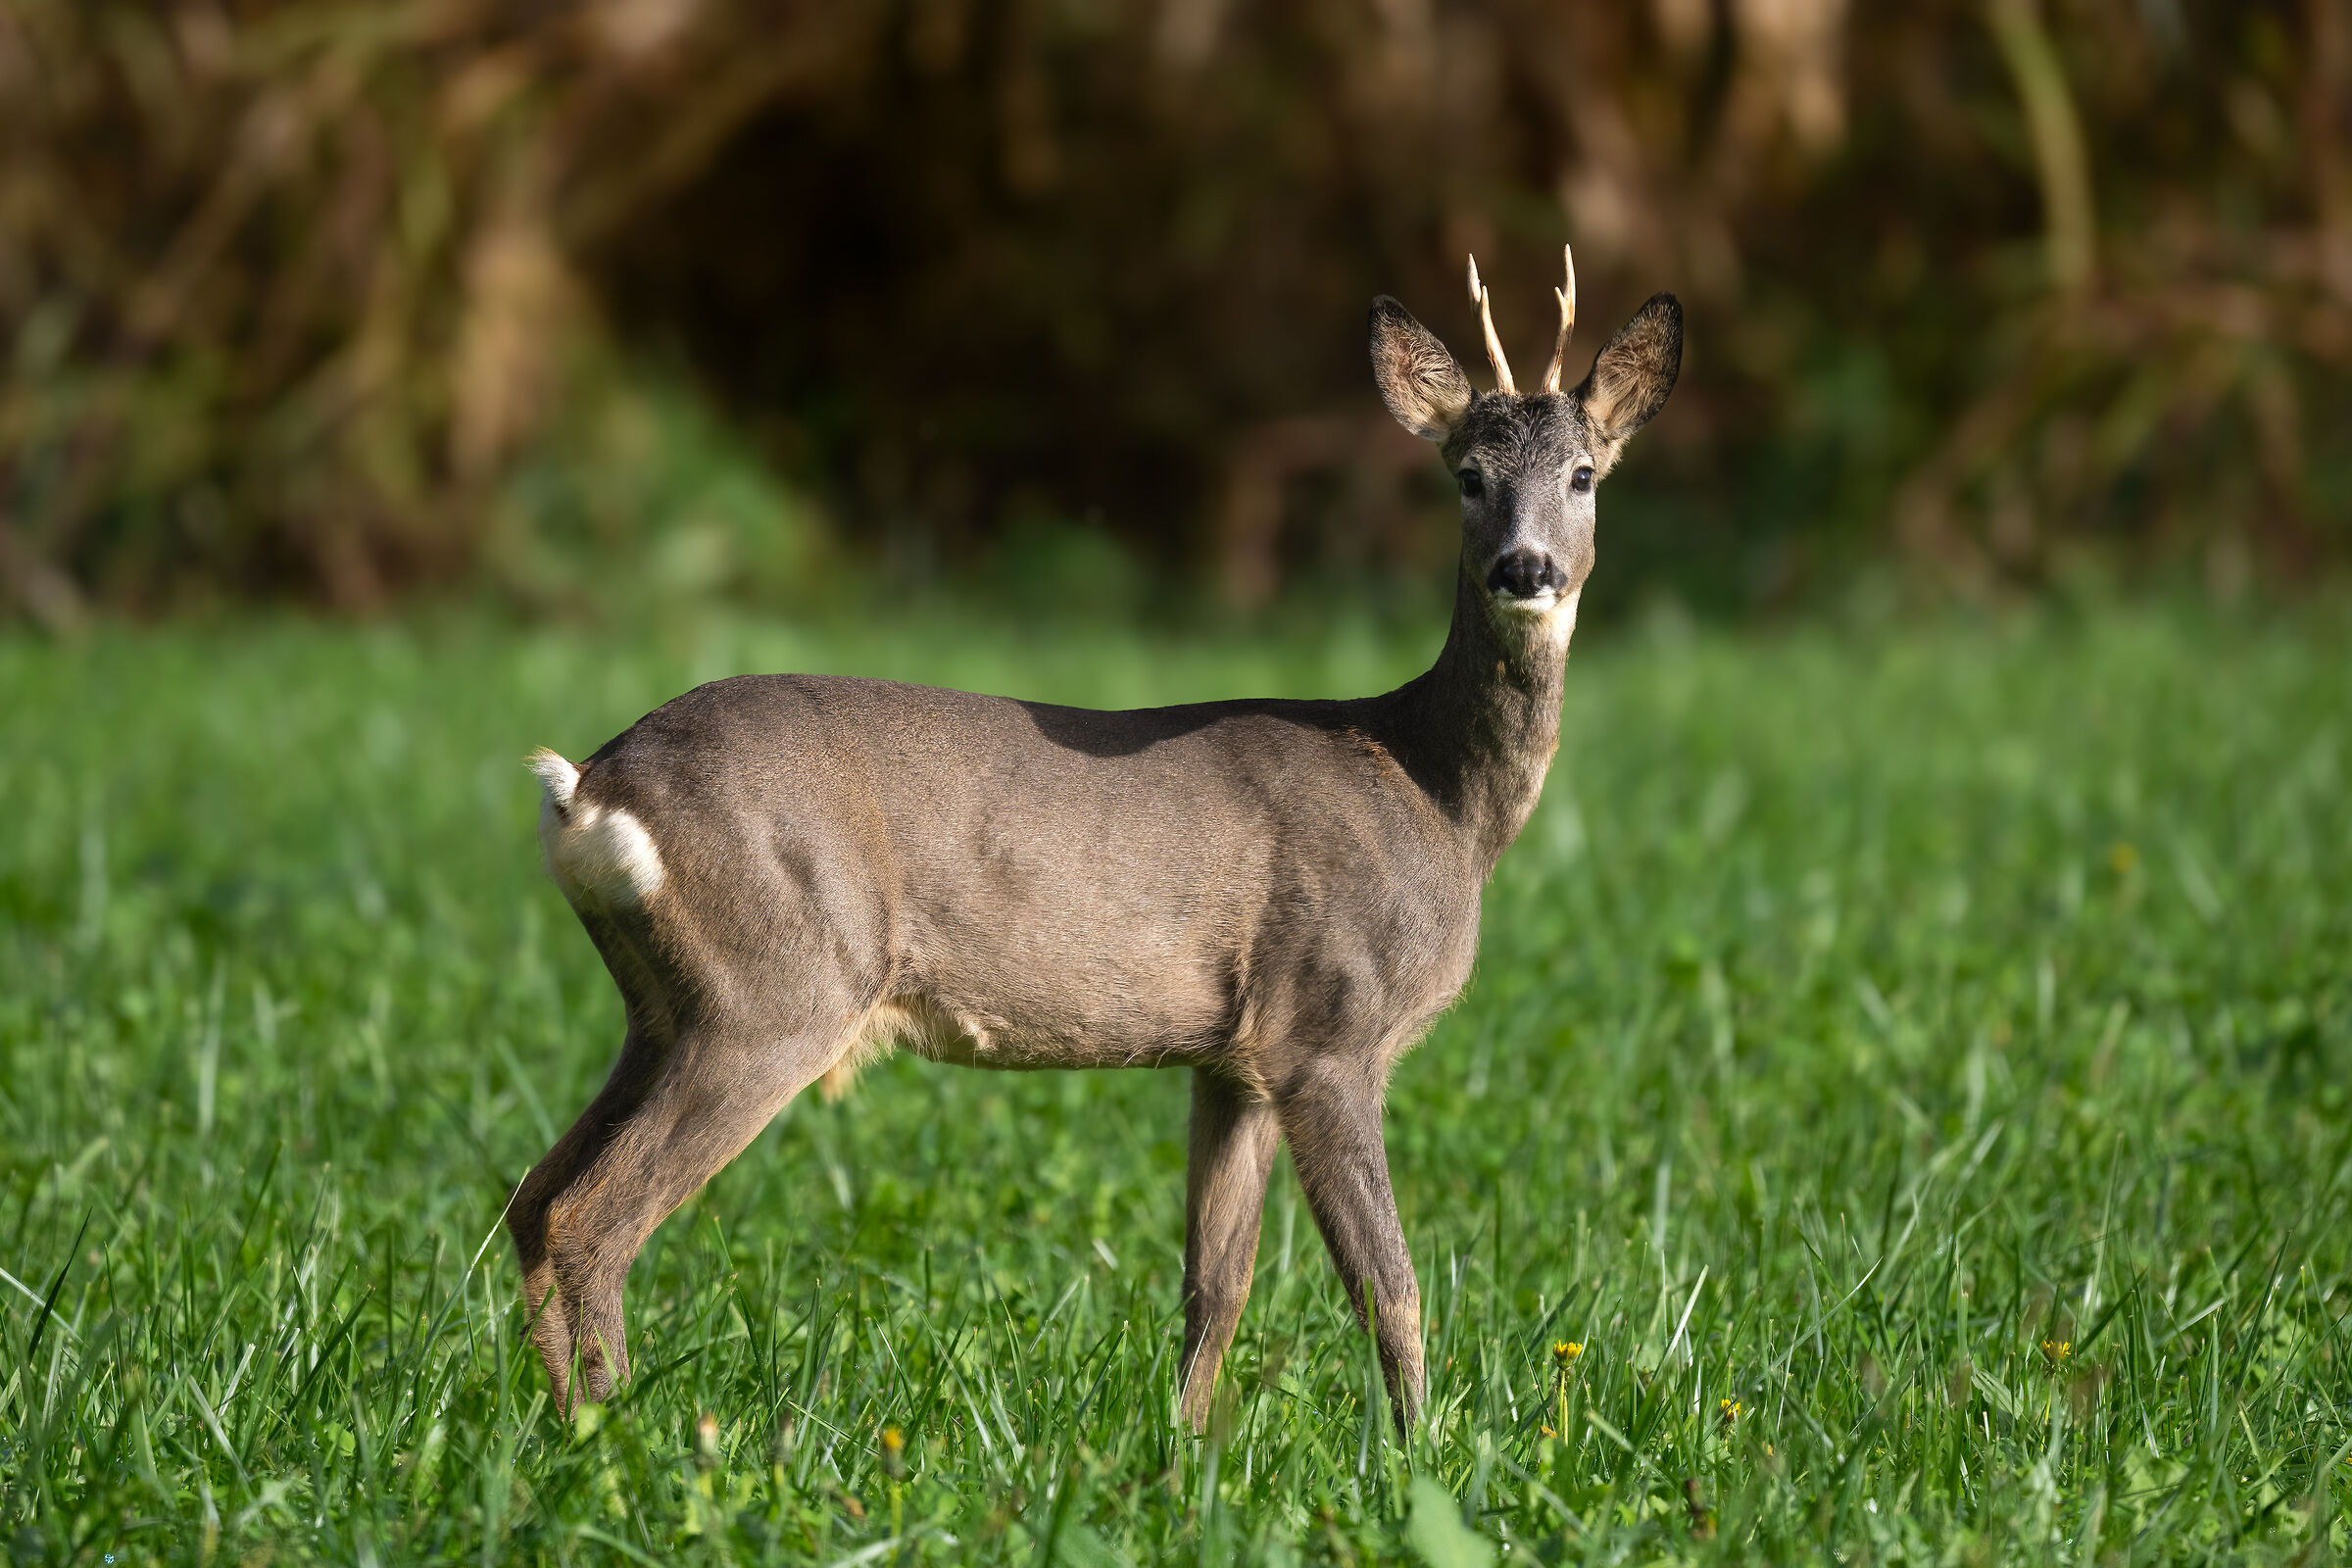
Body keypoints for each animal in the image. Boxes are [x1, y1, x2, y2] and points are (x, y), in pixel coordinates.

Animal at [509, 247, 1681, 1433]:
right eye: (1467, 476)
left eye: (1585, 474)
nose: (1526, 569)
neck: (1437, 794)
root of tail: (592, 787)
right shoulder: (1328, 1029)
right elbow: (1389, 1287)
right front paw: (1417, 1454)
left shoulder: (1234, 1057)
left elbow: (1217, 1283)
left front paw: (1186, 1447)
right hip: (775, 987)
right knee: (593, 1217)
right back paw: (621, 1432)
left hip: (662, 1004)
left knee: (532, 1199)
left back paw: (557, 1427)